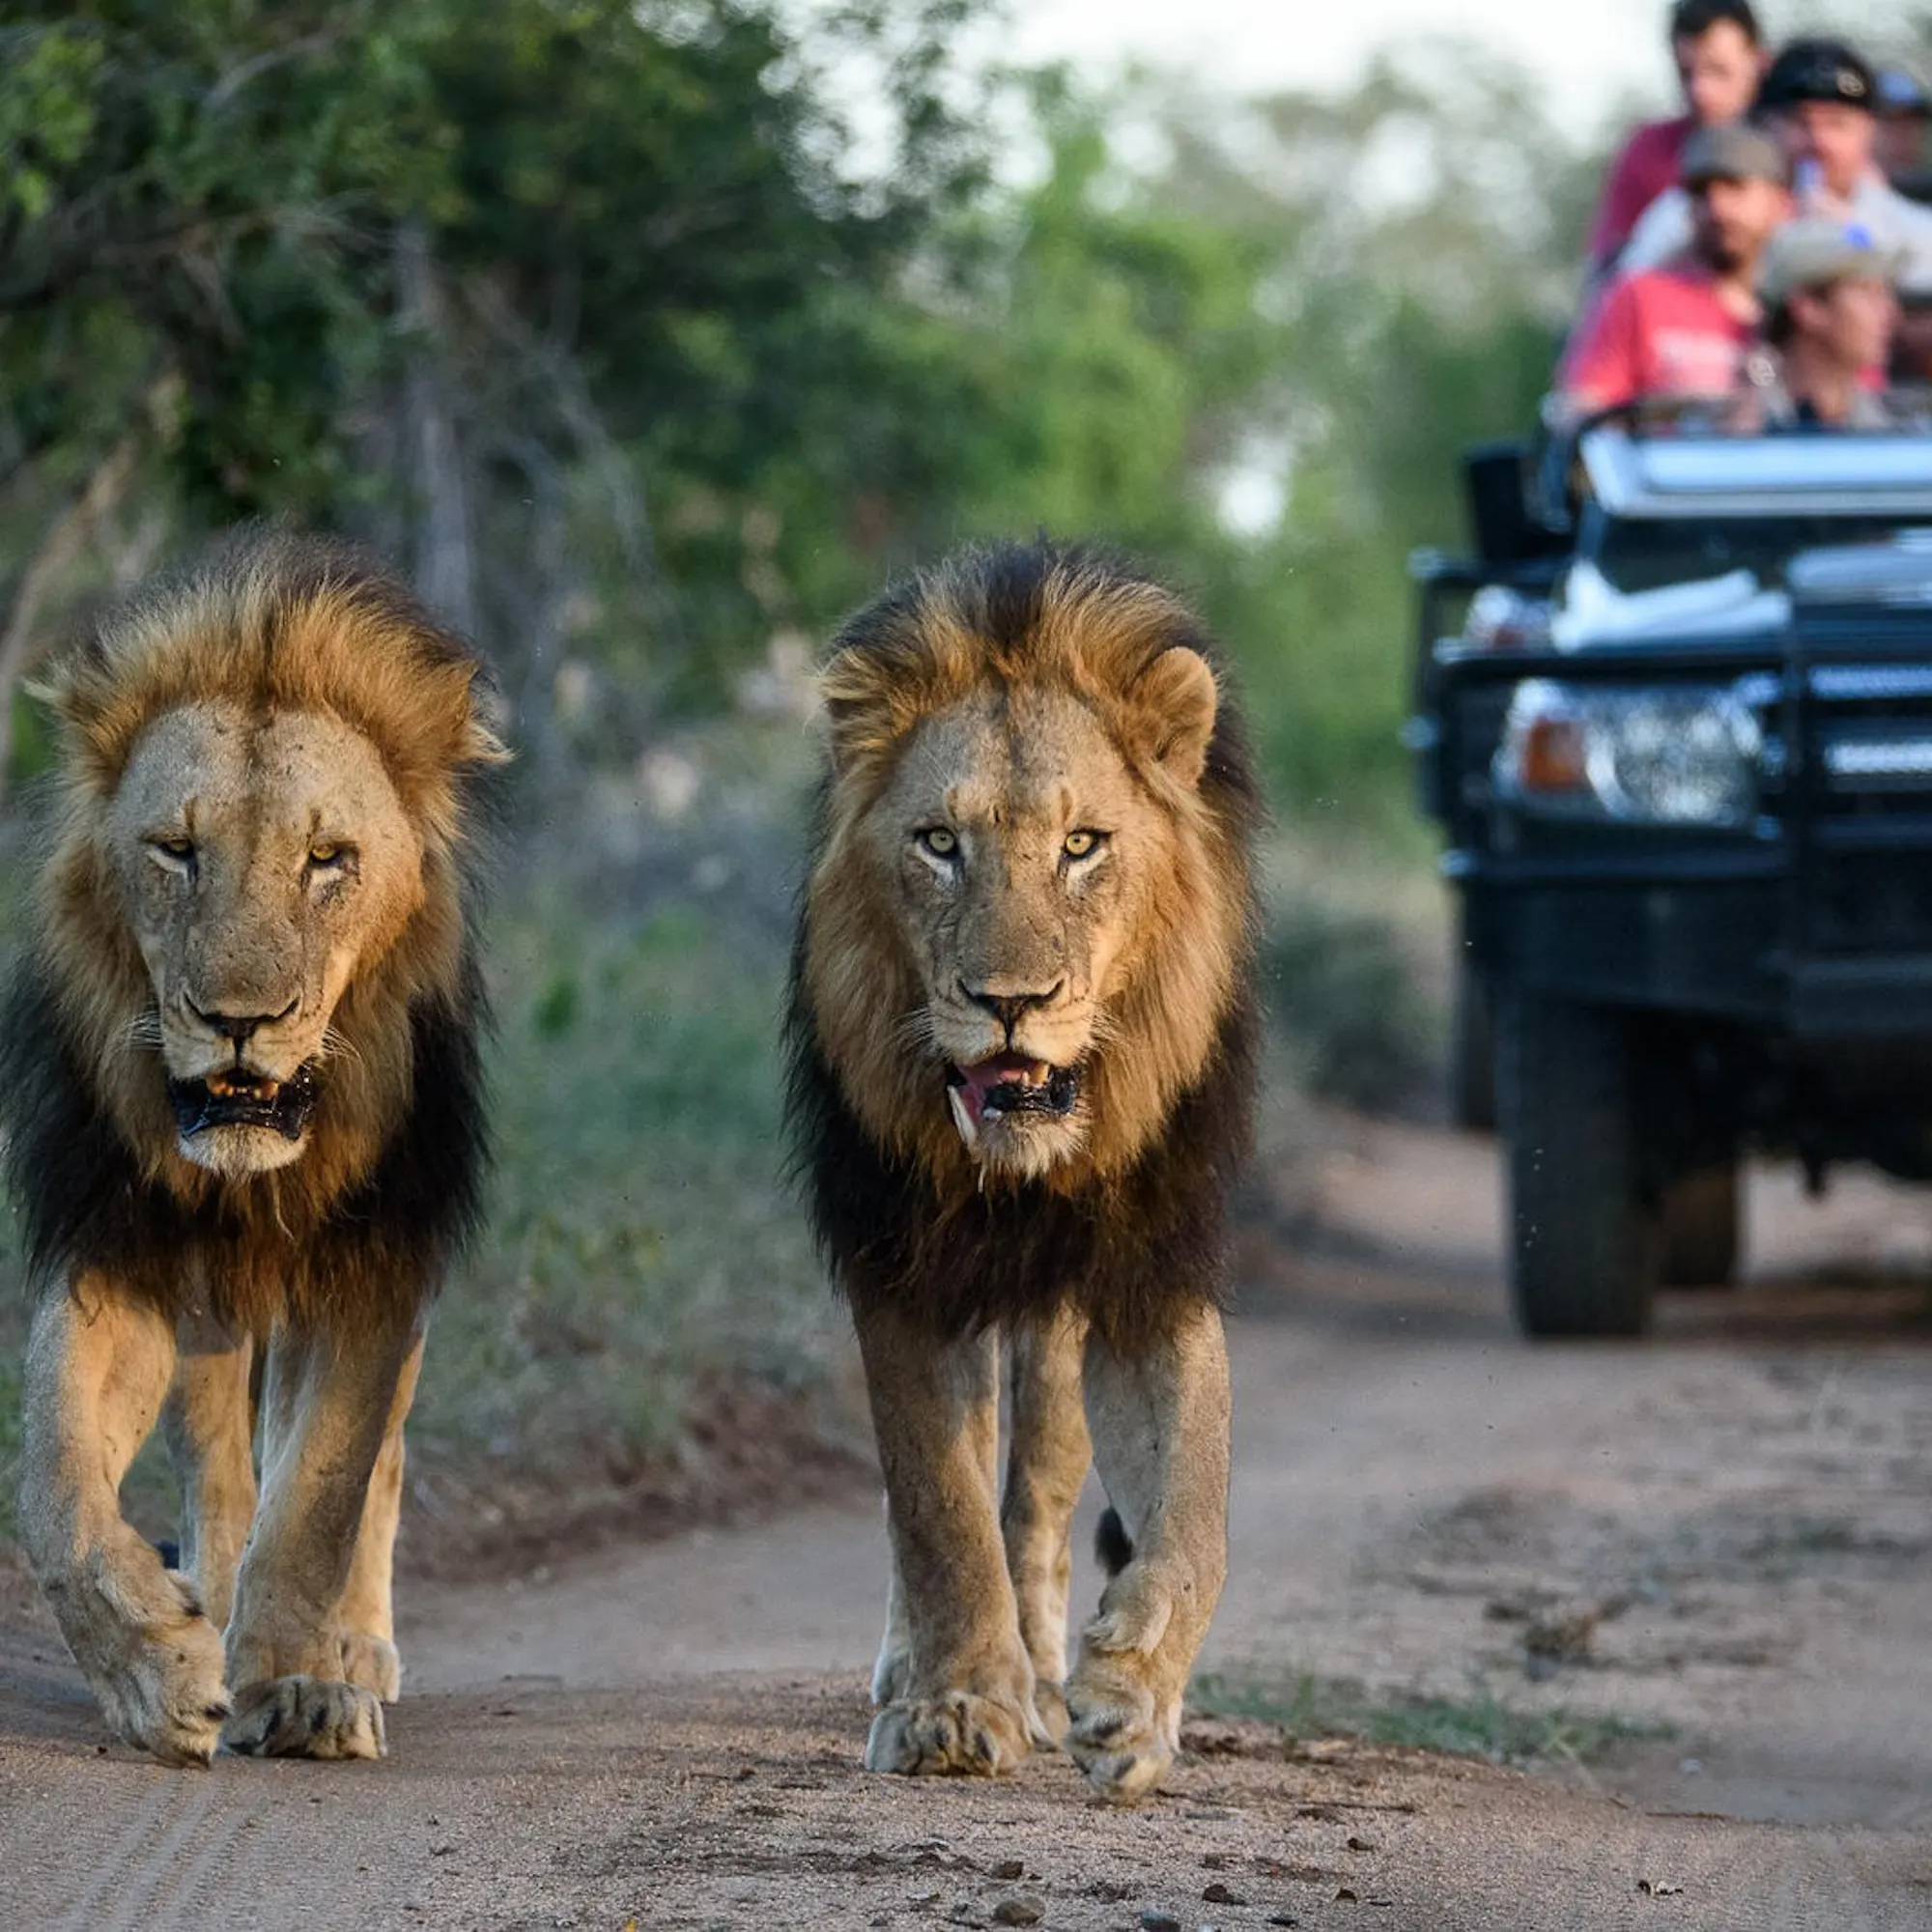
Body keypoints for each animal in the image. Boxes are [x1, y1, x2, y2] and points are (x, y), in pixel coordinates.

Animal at [0, 532, 505, 1765]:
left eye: (327, 858)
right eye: (176, 850)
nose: (239, 1018)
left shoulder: (381, 1261)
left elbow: (322, 1492)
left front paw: (296, 1683)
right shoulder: (118, 1239)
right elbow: (55, 1489)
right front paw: (159, 1667)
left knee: (364, 1464)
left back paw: (353, 1645)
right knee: (222, 1466)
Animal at [785, 540, 1261, 1800]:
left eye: (1081, 843)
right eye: (938, 843)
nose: (1010, 1002)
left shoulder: (1150, 1274)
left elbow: (1193, 1511)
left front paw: (1129, 1690)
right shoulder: (903, 1268)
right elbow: (935, 1507)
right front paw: (952, 1706)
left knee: (1042, 1484)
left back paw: (1047, 1672)